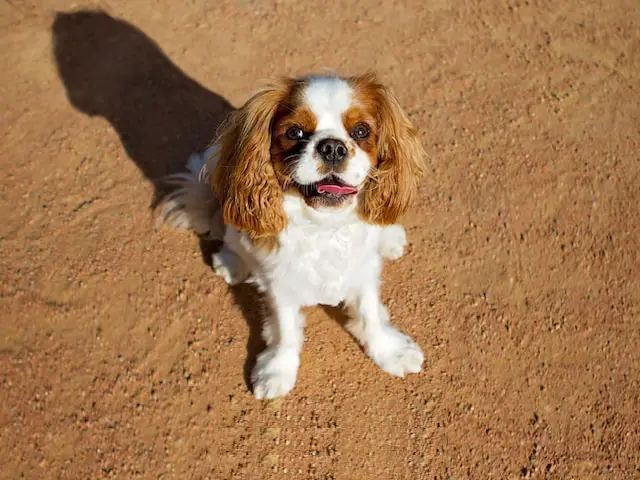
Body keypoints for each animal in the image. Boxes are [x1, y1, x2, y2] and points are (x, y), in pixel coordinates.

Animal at [159, 72, 424, 398]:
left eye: (361, 131)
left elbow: (370, 312)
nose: (332, 147)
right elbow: (285, 330)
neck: (324, 225)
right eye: (295, 132)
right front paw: (277, 370)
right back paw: (231, 262)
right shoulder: (279, 283)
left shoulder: (363, 270)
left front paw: (388, 350)